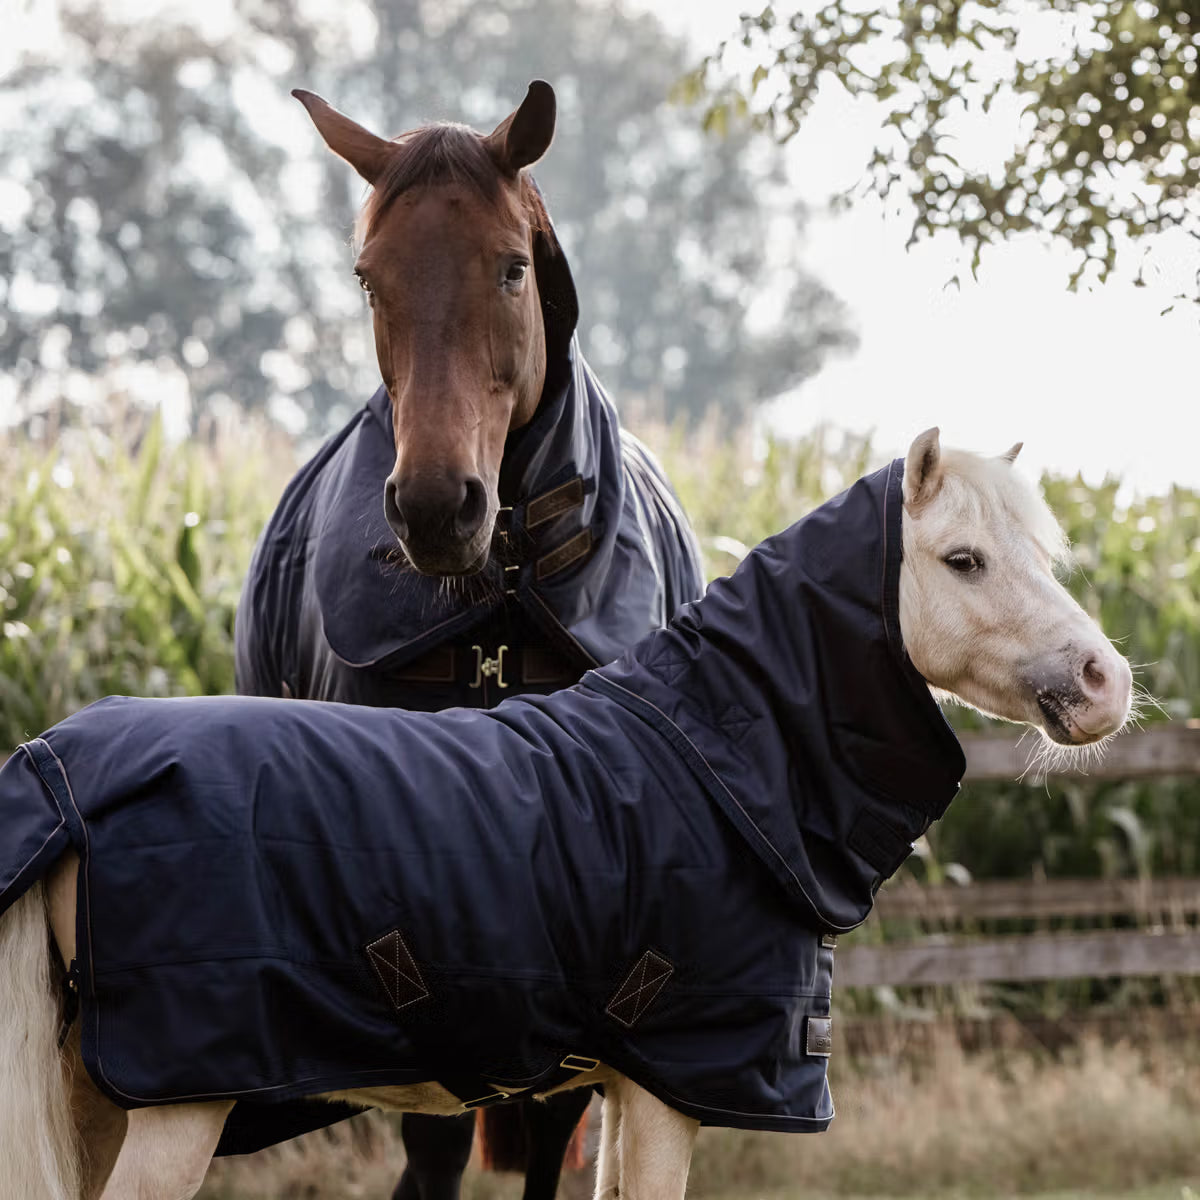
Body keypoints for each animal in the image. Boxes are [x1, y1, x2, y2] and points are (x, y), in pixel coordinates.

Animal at [0, 429, 1134, 1200]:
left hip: (94, 1098)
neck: (717, 756)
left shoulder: (623, 1091)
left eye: (1047, 559)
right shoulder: (678, 1085)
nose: (1105, 682)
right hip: (173, 1109)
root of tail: (62, 773)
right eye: (963, 561)